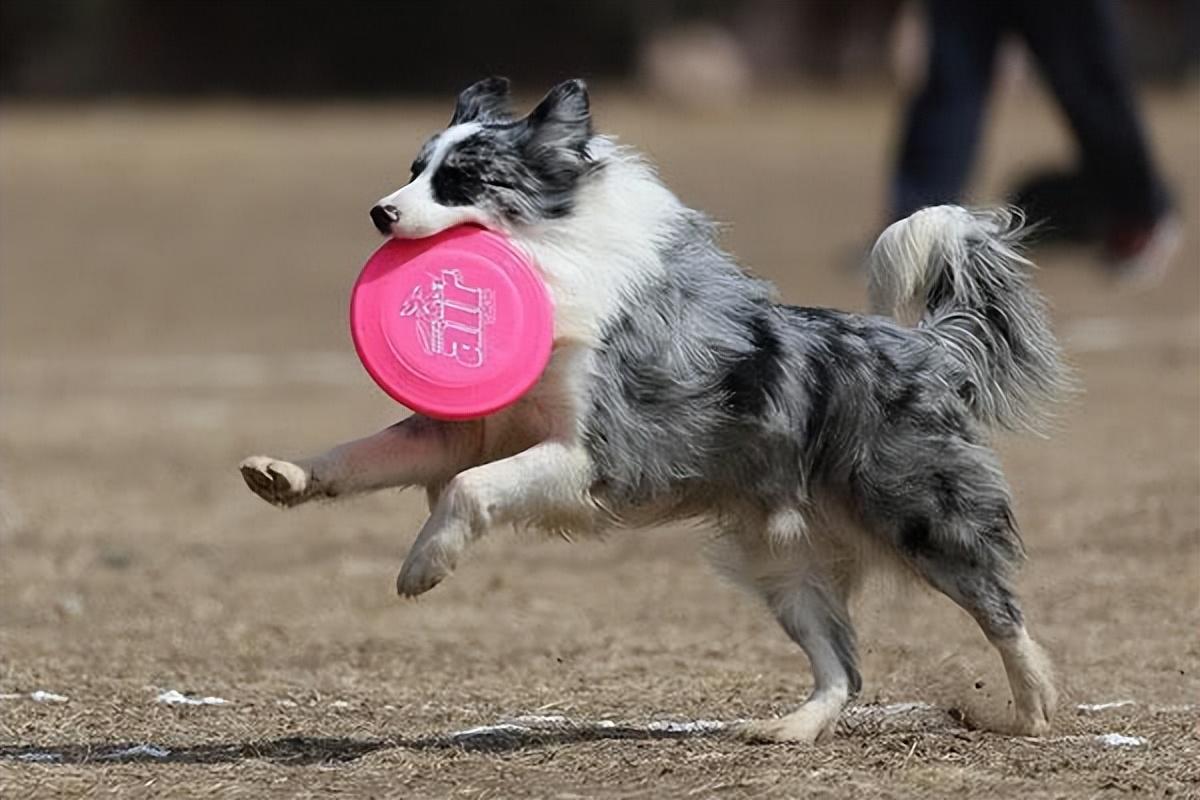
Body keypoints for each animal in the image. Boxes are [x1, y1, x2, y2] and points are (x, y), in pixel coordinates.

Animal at [238, 76, 1065, 743]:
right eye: (415, 170)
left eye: (461, 180)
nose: (380, 213)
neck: (553, 254)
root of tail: (927, 348)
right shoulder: (466, 430)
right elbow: (365, 453)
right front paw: (281, 475)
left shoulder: (593, 455)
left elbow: (472, 489)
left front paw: (423, 566)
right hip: (782, 561)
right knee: (844, 664)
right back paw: (791, 730)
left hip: (922, 516)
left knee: (1002, 610)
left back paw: (1031, 709)